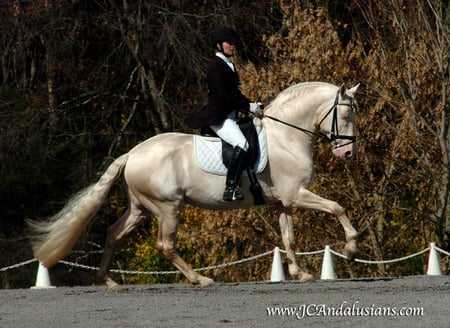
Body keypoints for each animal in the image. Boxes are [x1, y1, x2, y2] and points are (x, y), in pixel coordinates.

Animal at [29, 82, 358, 290]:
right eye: (345, 114)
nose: (347, 154)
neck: (286, 137)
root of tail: (132, 153)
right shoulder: (297, 195)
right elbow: (337, 207)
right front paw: (351, 248)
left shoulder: (284, 202)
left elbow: (288, 238)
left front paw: (300, 274)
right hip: (167, 207)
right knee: (166, 245)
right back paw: (201, 280)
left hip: (140, 209)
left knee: (113, 234)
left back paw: (106, 280)